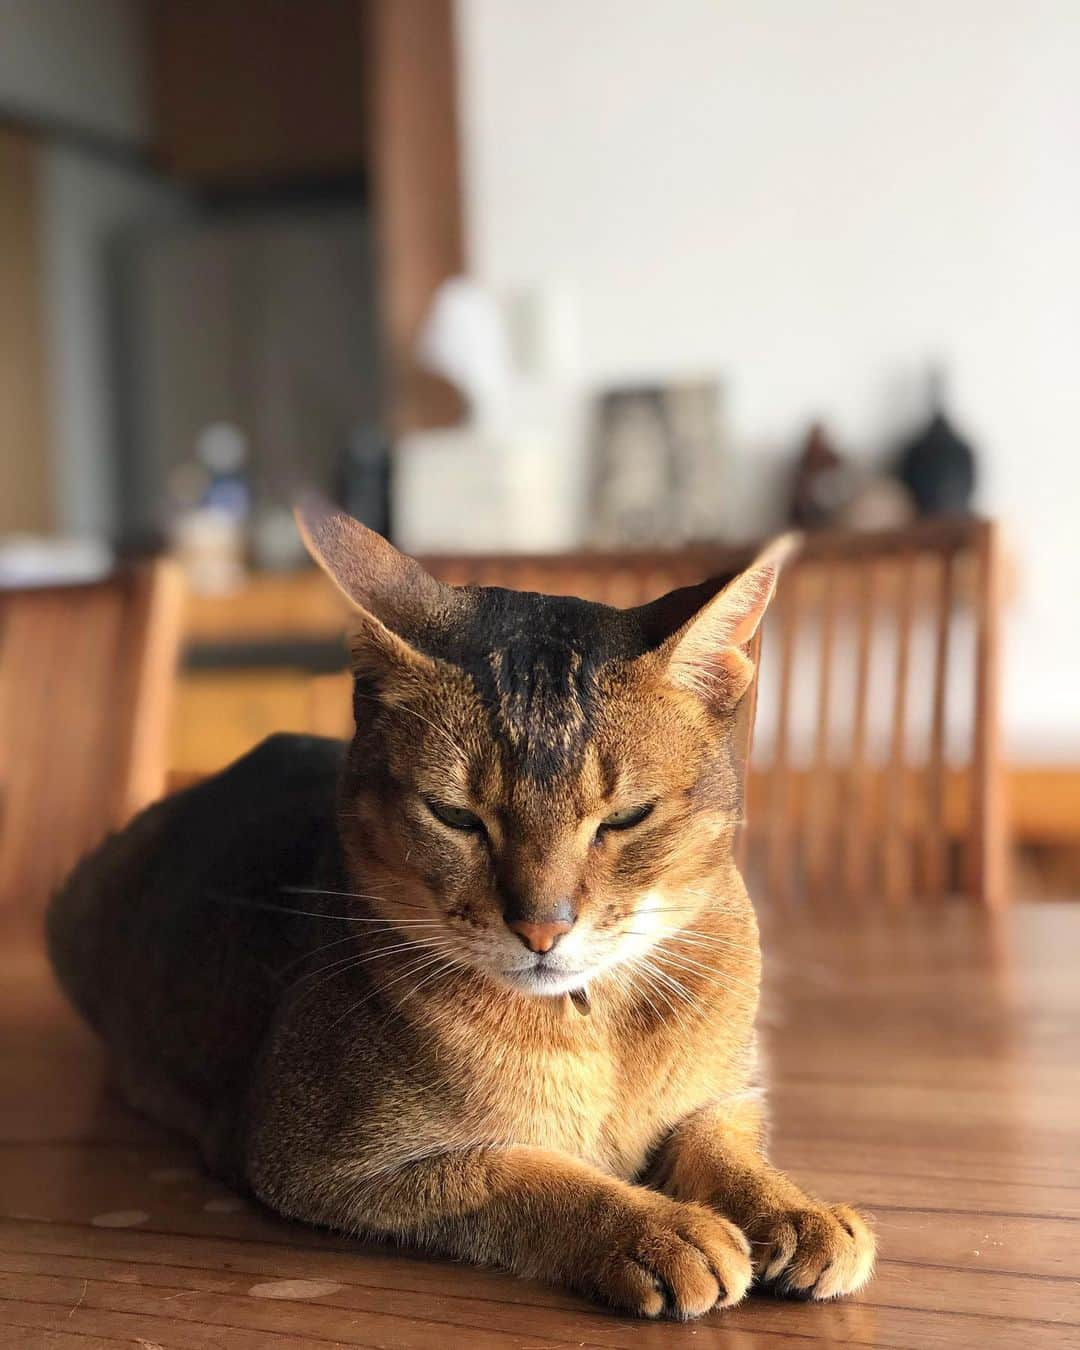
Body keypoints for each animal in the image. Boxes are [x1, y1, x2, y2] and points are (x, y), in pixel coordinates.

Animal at [48, 504, 874, 1317]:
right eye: (456, 817)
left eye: (626, 818)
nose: (543, 927)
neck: (591, 1028)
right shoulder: (320, 1159)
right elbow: (520, 1175)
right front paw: (658, 1229)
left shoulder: (726, 1093)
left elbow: (723, 1144)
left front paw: (796, 1209)